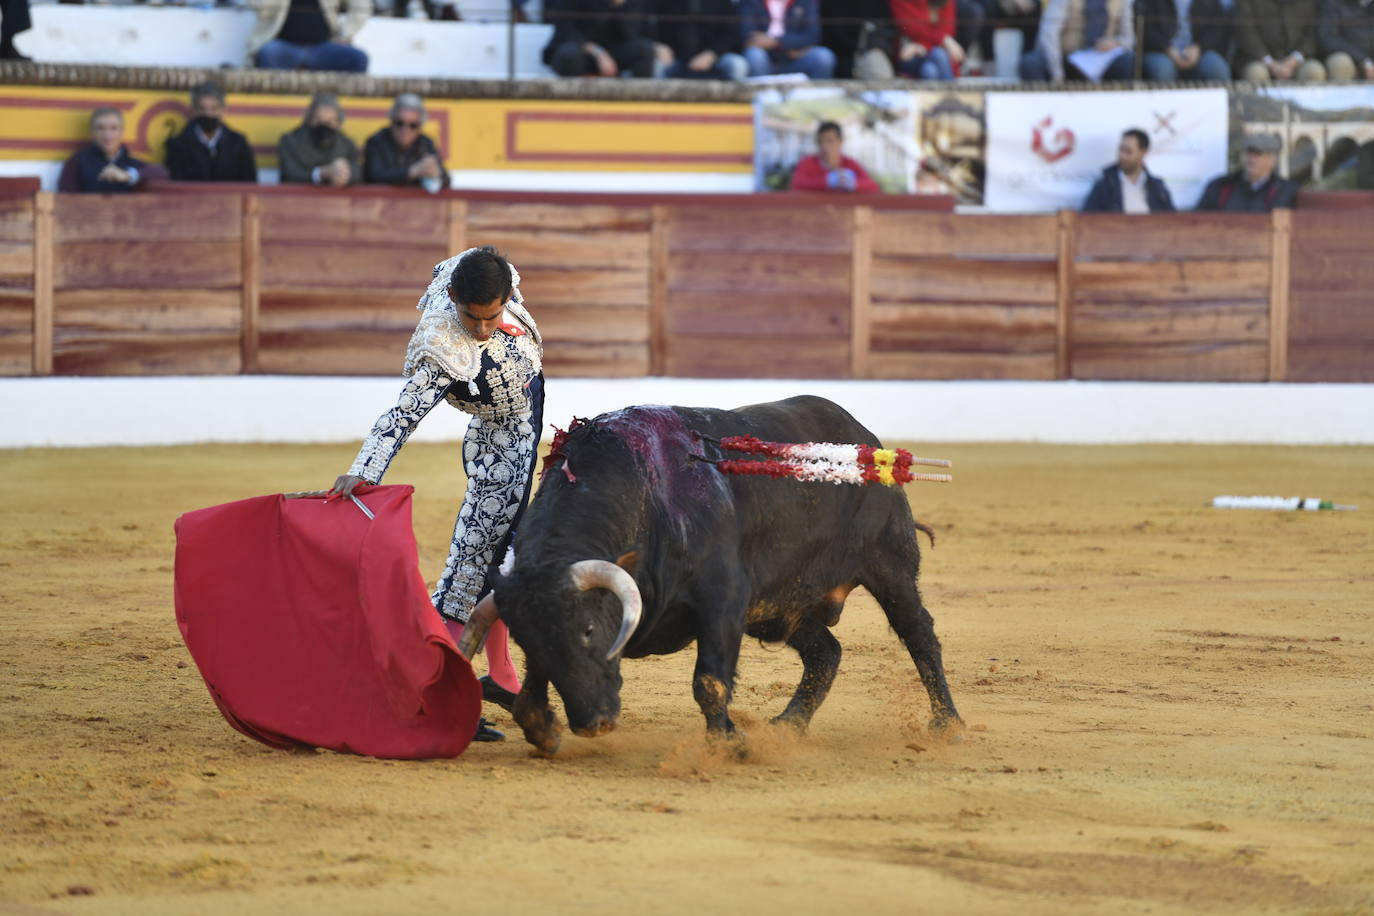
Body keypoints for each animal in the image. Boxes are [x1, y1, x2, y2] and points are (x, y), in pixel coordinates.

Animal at [461, 395, 956, 752]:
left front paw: (729, 744)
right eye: (527, 642)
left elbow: (710, 681)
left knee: (920, 635)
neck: (645, 497)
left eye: (588, 630)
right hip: (777, 609)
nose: (592, 724)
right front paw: (543, 729)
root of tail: (863, 438)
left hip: (890, 566)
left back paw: (947, 724)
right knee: (825, 652)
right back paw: (786, 726)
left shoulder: (724, 600)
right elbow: (529, 691)